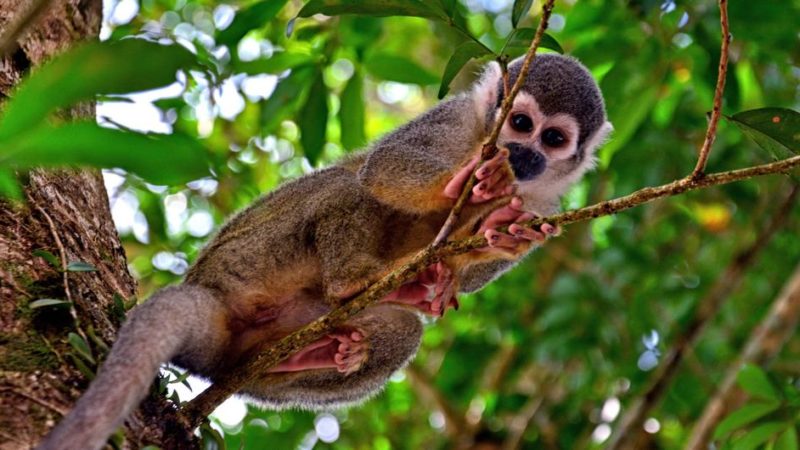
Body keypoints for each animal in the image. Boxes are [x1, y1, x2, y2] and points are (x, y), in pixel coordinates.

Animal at [39, 53, 612, 450]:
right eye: (520, 123)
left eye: (553, 139)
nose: (523, 153)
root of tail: (207, 291)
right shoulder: (457, 119)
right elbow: (383, 170)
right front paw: (465, 184)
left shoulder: (547, 197)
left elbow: (480, 258)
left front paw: (496, 233)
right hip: (248, 257)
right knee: (347, 184)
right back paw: (351, 280)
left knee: (400, 329)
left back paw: (308, 353)